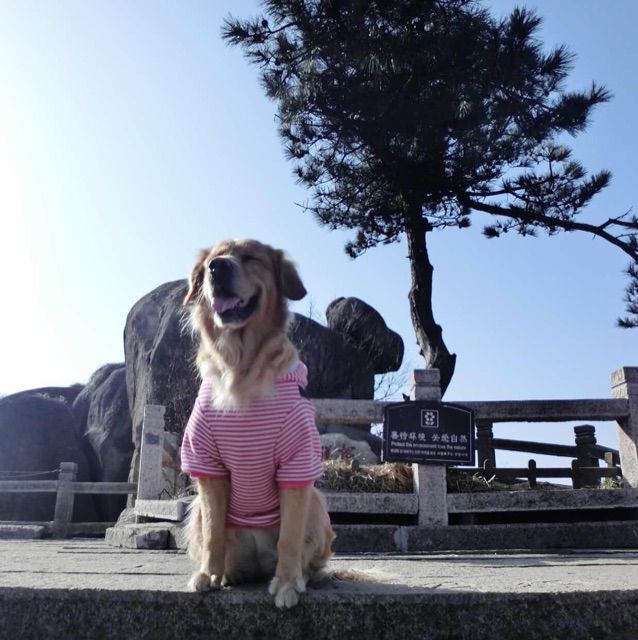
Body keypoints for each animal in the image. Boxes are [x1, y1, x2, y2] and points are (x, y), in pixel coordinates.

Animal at [180, 239, 335, 609]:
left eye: (251, 258)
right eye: (210, 260)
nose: (217, 268)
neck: (241, 365)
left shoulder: (297, 463)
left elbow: (289, 537)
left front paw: (288, 584)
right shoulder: (206, 463)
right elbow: (213, 532)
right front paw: (208, 575)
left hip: (318, 504)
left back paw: (311, 576)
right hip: (194, 509)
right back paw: (228, 574)